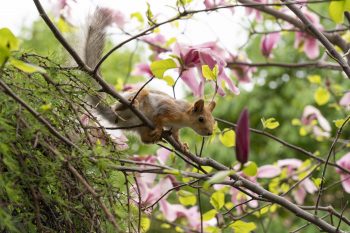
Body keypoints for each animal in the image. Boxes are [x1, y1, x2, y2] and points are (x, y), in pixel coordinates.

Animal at [85, 8, 216, 149]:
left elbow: (175, 136)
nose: (209, 132)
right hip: (135, 97)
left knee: (144, 139)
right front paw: (159, 128)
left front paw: (182, 145)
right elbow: (159, 117)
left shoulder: (175, 128)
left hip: (139, 127)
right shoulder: (168, 109)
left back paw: (154, 138)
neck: (184, 117)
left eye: (214, 120)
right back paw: (134, 104)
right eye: (201, 119)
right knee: (127, 104)